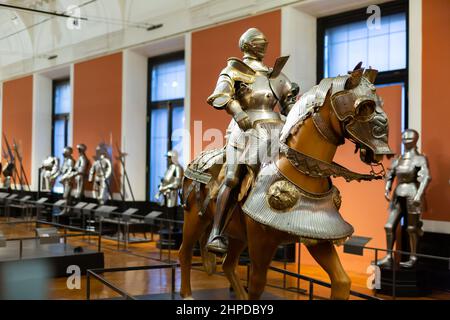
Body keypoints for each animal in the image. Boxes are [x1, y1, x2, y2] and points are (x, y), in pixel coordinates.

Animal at [179, 65, 394, 300]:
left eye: (381, 103)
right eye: (365, 107)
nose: (383, 150)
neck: (296, 167)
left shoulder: (319, 236)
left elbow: (342, 282)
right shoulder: (261, 241)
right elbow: (257, 283)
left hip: (237, 234)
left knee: (228, 264)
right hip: (195, 219)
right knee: (185, 252)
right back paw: (188, 293)